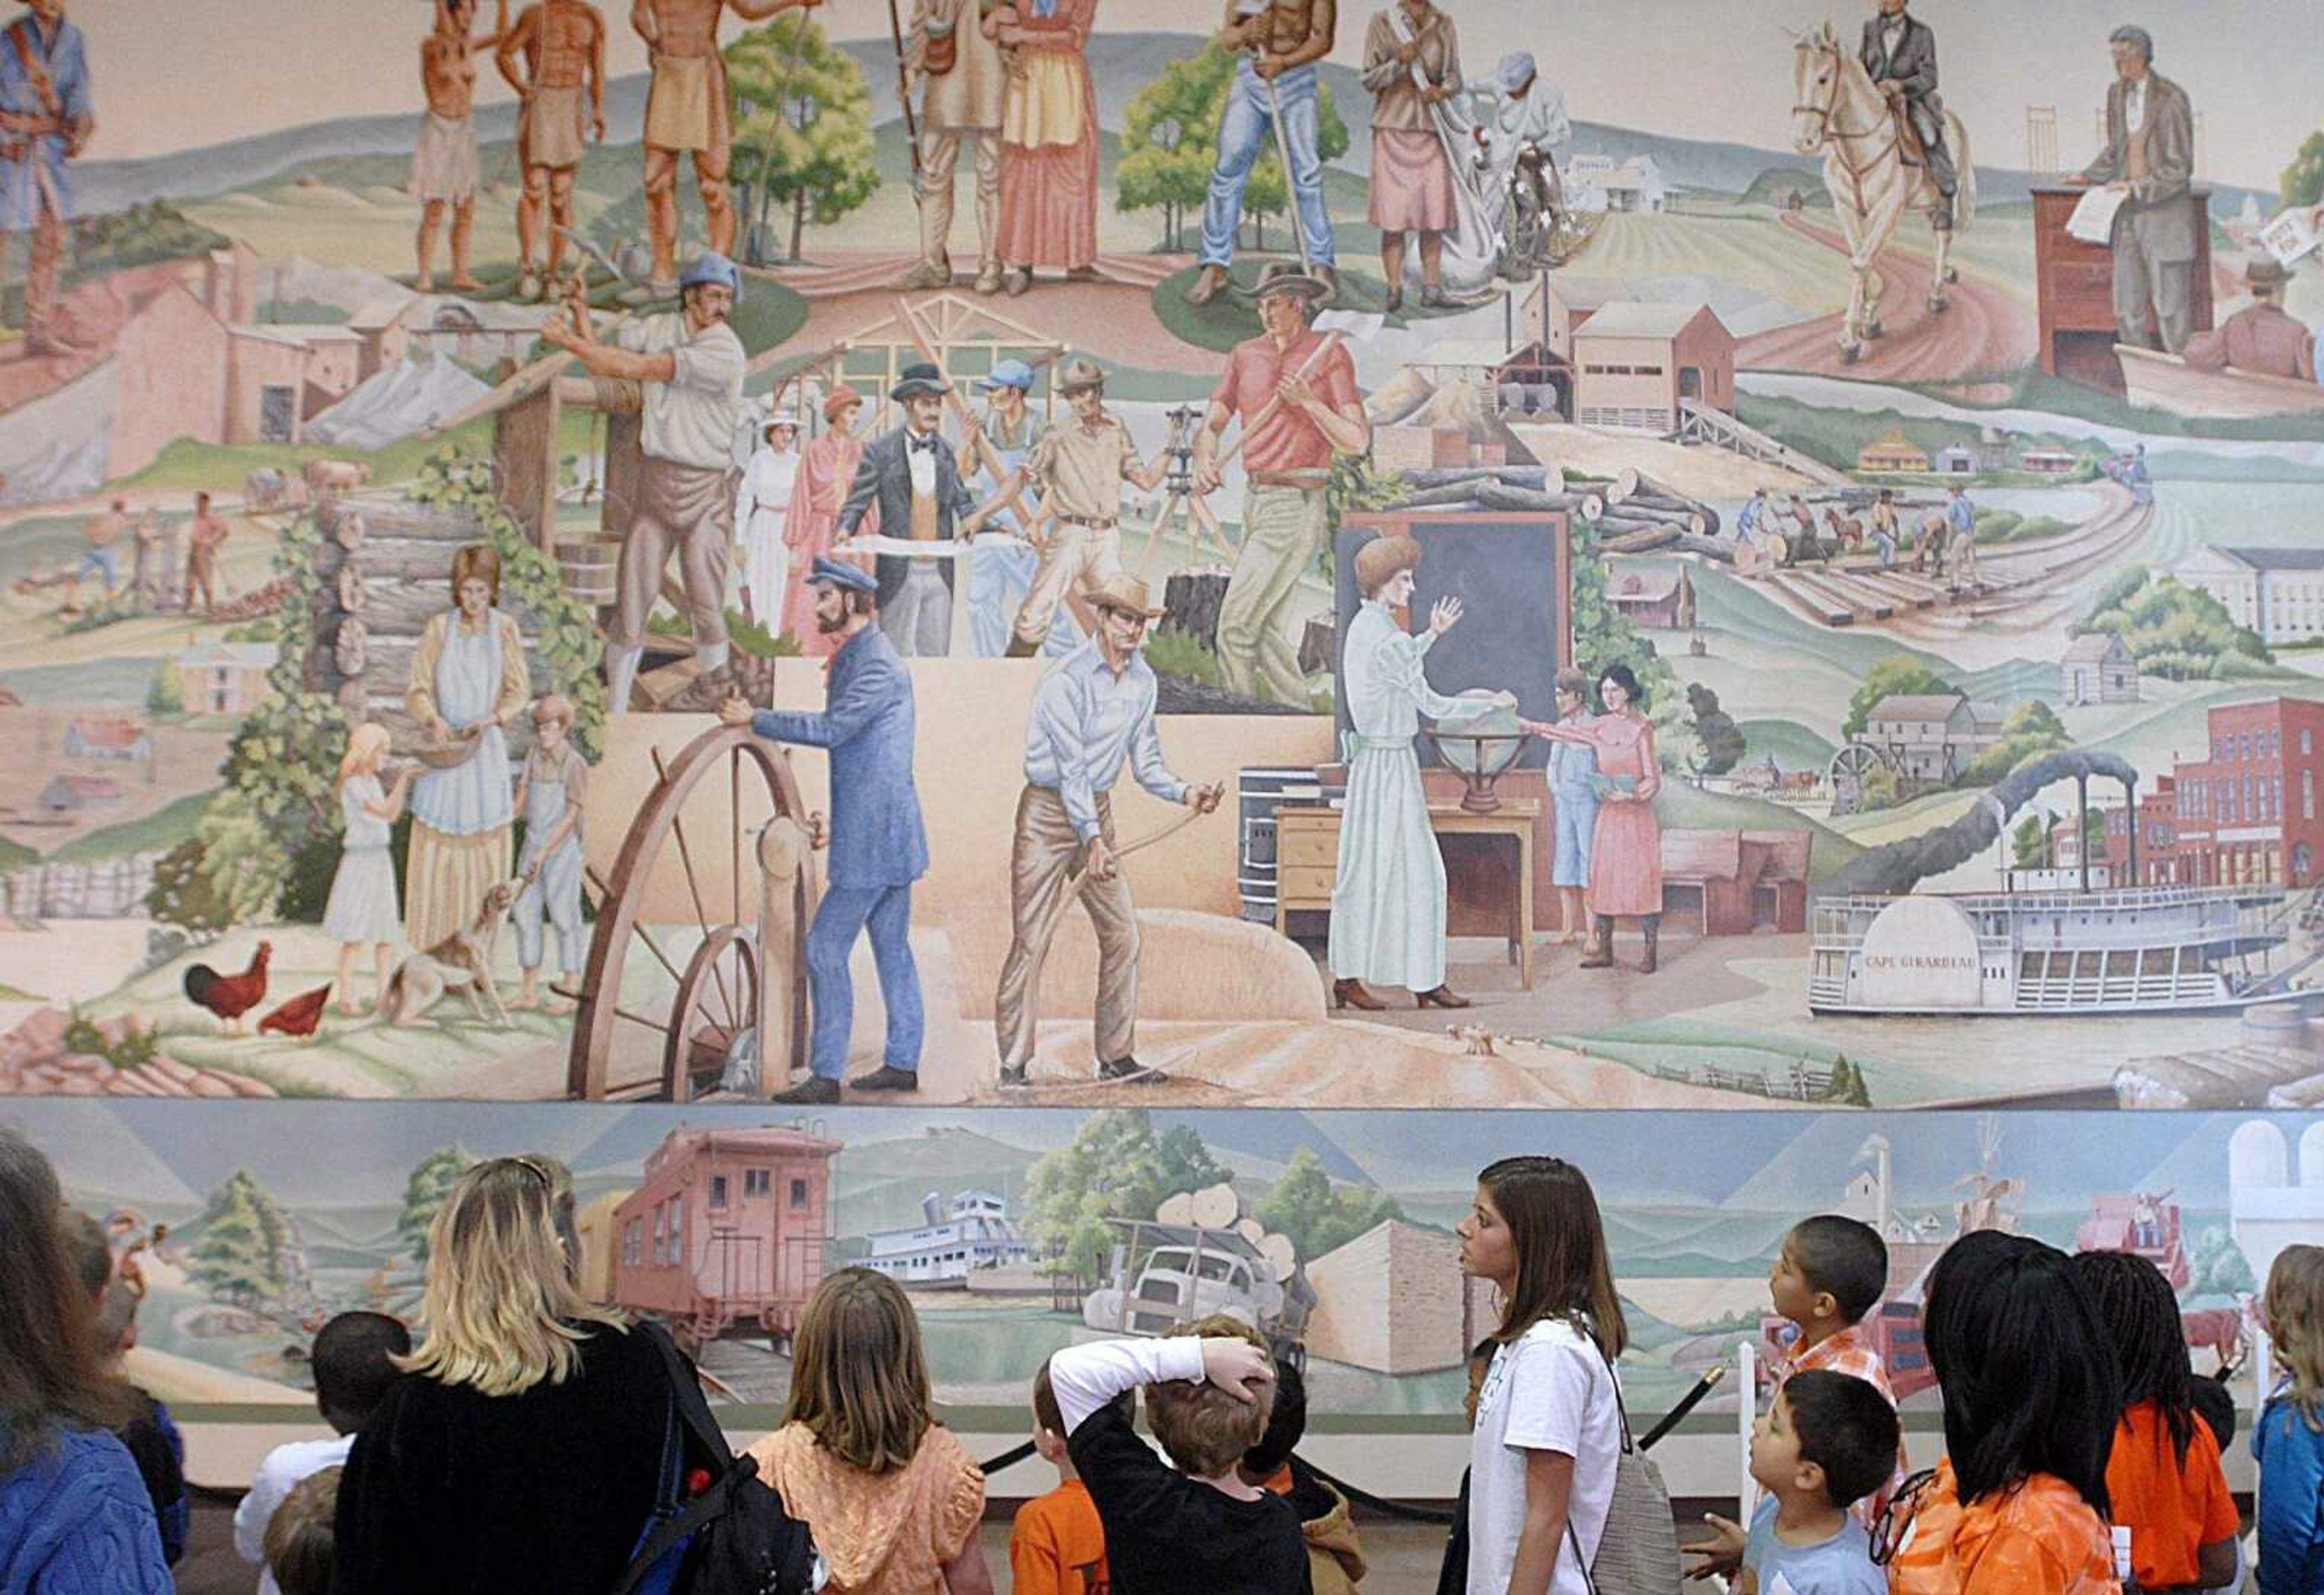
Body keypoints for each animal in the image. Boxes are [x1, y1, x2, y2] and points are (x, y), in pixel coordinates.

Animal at [1785, 24, 1971, 363]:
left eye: (1823, 78)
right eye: (1797, 75)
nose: (1803, 141)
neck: (1860, 144)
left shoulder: (1888, 207)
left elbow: (1861, 262)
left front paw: (1849, 339)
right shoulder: (1848, 207)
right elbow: (1864, 256)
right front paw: (1871, 320)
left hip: (1945, 195)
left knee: (1943, 237)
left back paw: (1937, 294)